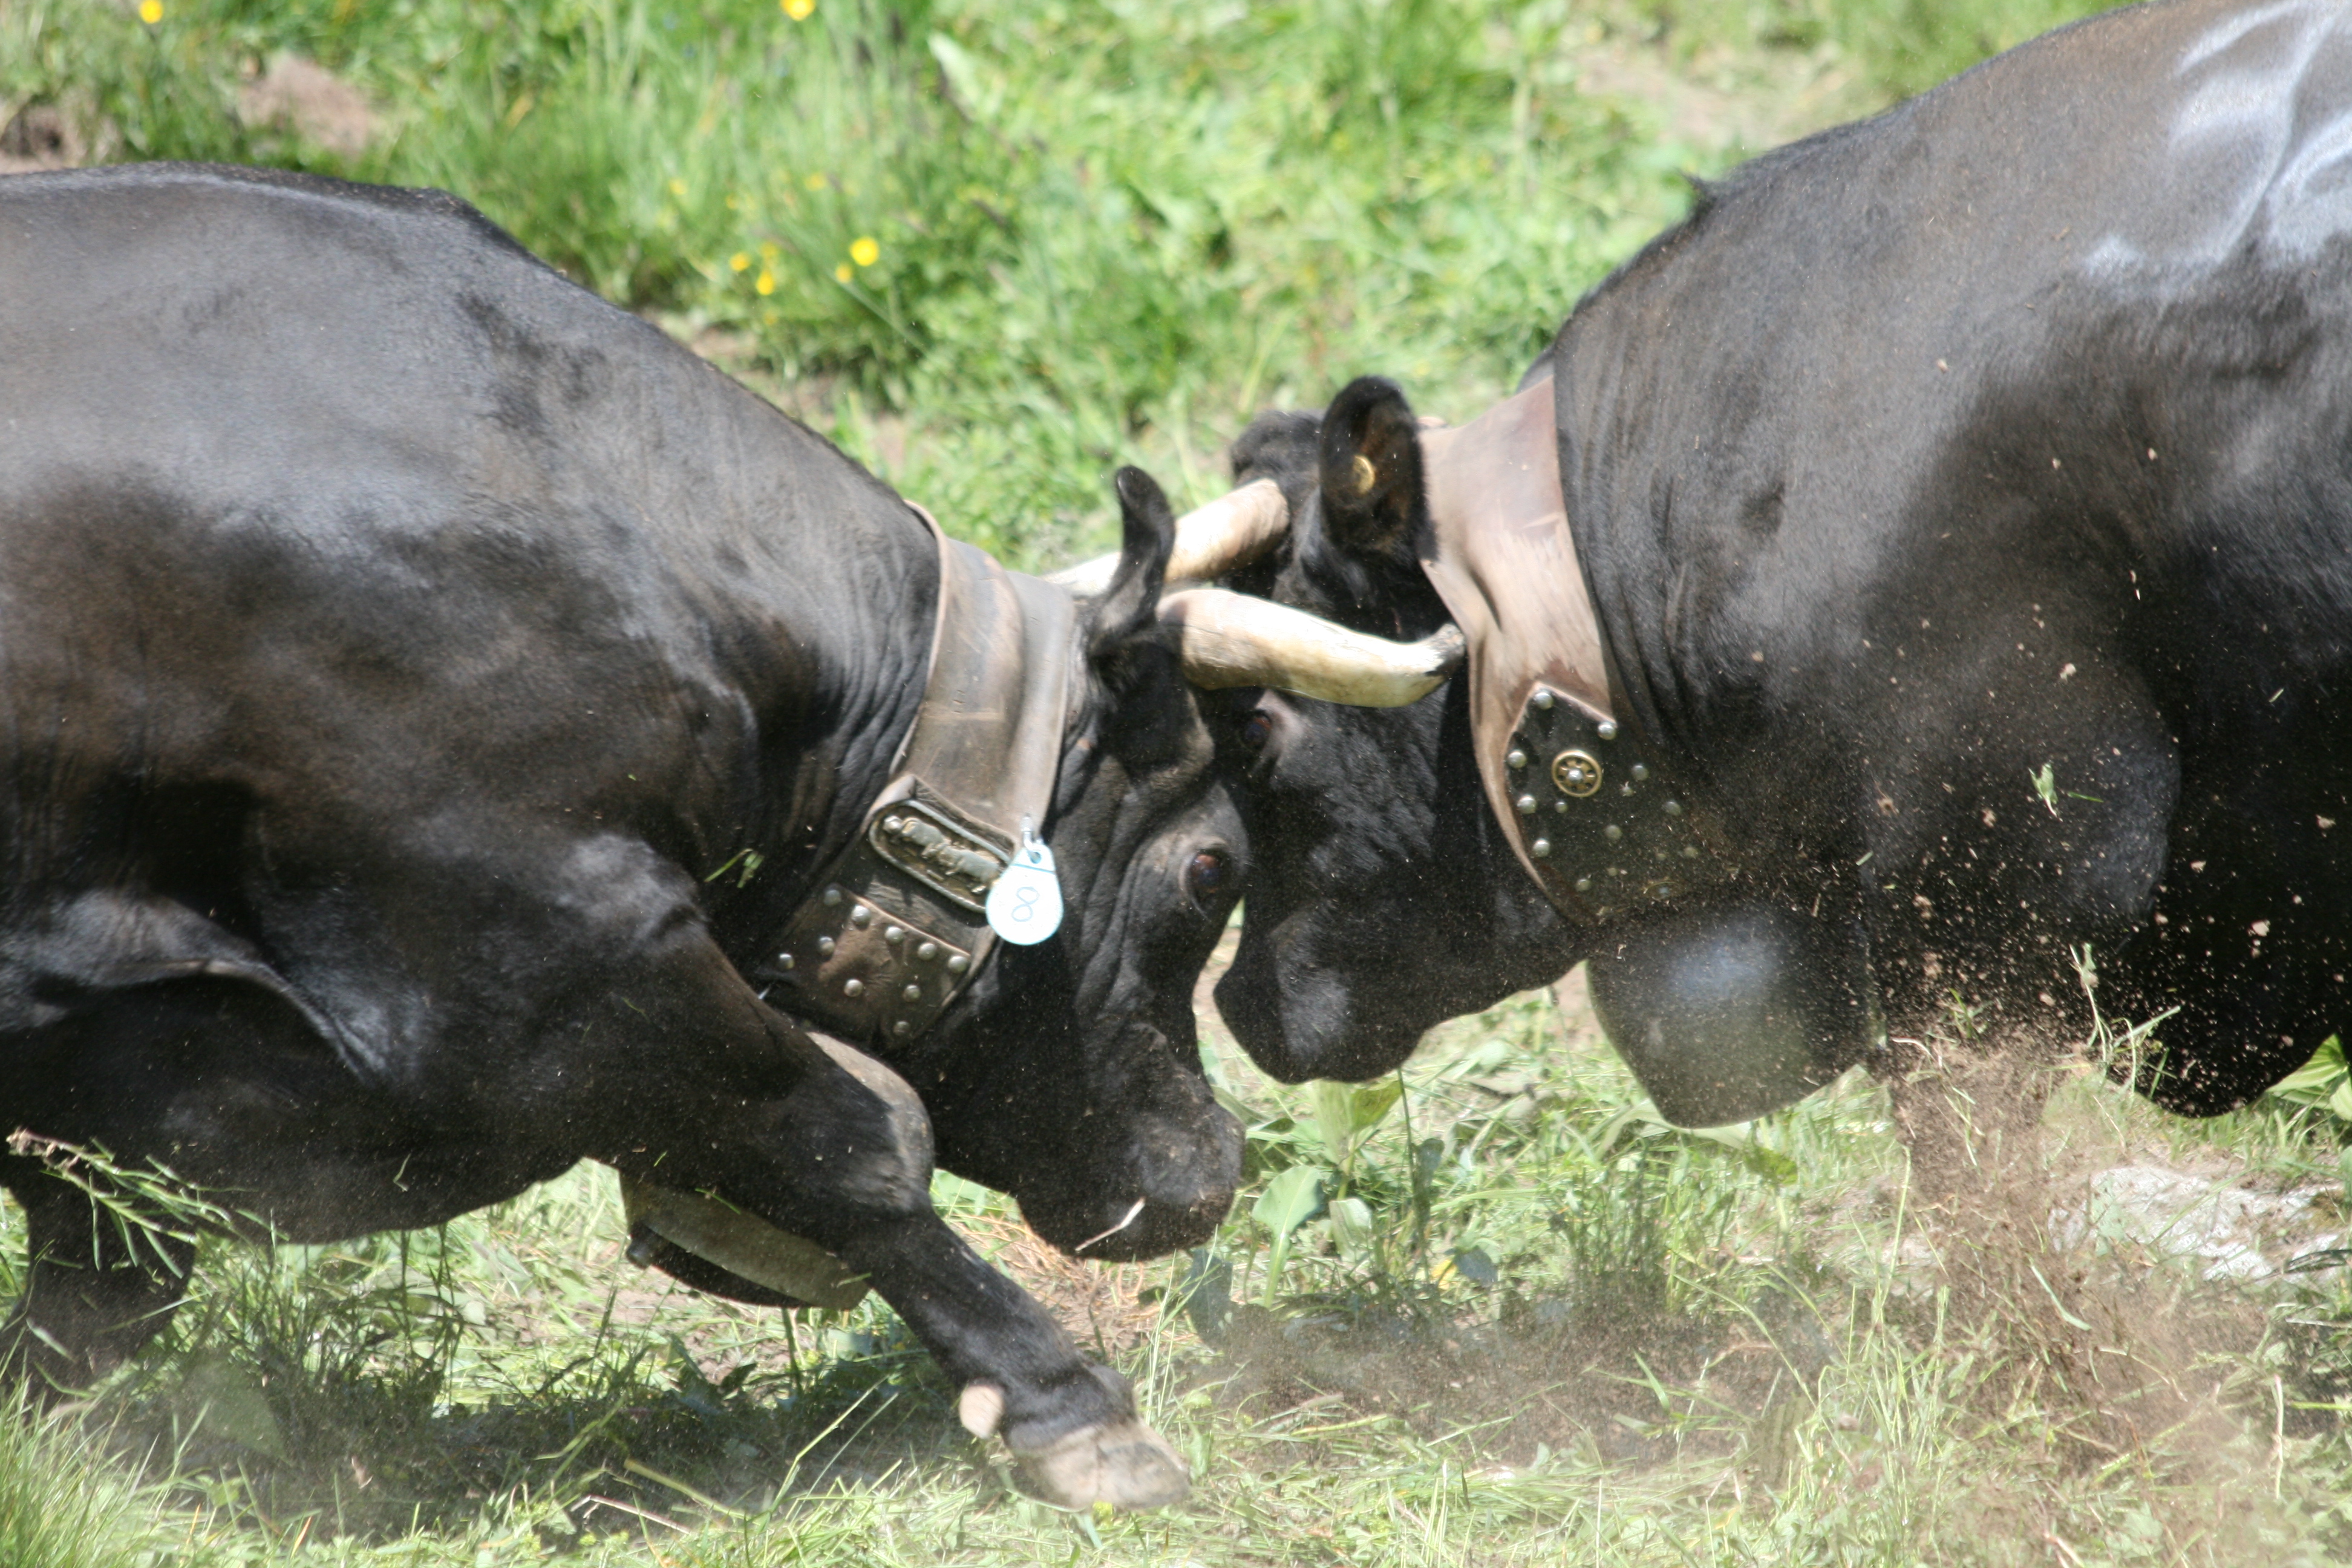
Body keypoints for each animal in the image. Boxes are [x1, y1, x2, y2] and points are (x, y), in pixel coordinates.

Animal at [0, 160, 1260, 1504]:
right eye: (1212, 866)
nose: (1213, 1166)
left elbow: (103, 1285)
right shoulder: (542, 947)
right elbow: (843, 1141)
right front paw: (1071, 1406)